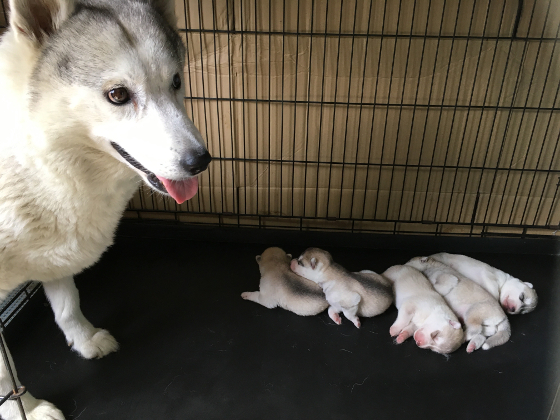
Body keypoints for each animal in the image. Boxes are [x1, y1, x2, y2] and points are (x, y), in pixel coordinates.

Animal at [0, 1, 210, 418]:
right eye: (117, 94)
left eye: (176, 81)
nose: (200, 162)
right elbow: (4, 375)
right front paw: (24, 409)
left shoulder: (57, 250)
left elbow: (68, 305)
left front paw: (85, 340)